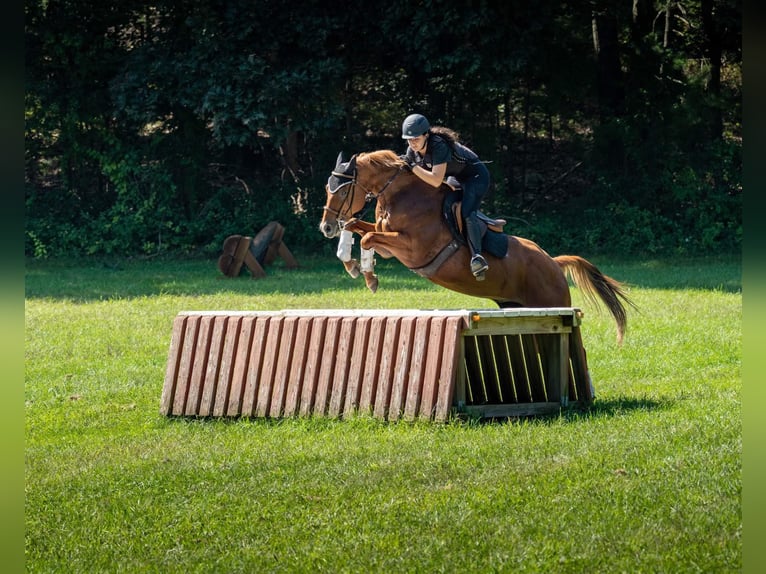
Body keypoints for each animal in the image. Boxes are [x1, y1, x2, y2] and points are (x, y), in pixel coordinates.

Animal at [318, 151, 636, 344]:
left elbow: (367, 238)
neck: (401, 195)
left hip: (552, 302)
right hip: (518, 306)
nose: (326, 228)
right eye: (326, 188)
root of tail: (554, 264)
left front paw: (368, 275)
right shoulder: (387, 239)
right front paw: (354, 265)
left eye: (343, 191)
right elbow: (356, 229)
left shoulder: (411, 248)